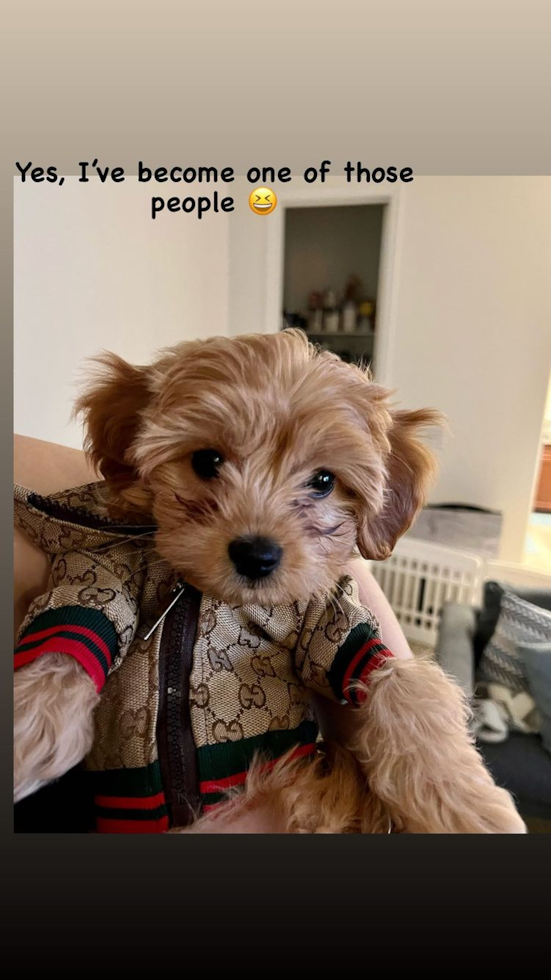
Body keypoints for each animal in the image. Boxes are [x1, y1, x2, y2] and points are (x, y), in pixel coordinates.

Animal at [12, 330, 528, 836]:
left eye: (323, 481)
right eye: (207, 460)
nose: (256, 555)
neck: (210, 594)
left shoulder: (326, 616)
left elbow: (391, 676)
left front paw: (466, 803)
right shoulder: (101, 571)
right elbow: (76, 622)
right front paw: (25, 726)